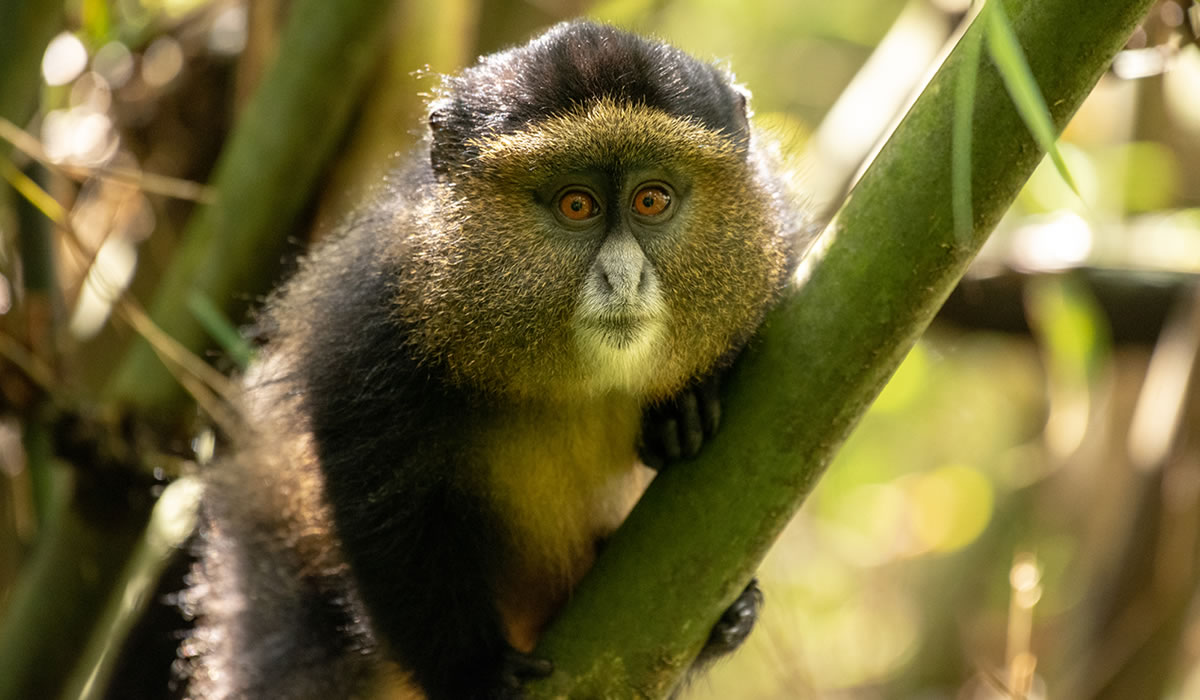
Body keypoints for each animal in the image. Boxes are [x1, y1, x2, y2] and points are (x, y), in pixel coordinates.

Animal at [179, 19, 806, 700]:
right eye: (577, 206)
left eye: (652, 201)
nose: (623, 279)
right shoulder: (371, 327)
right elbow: (386, 514)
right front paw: (474, 672)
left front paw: (685, 404)